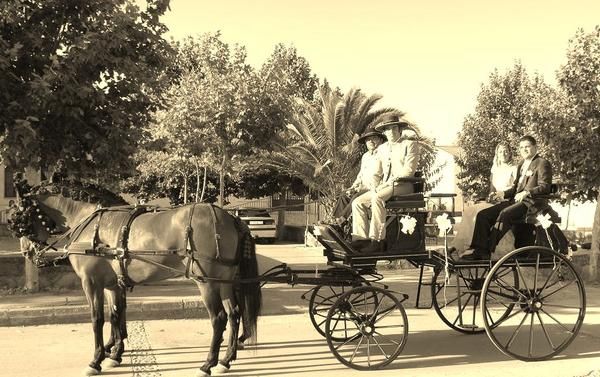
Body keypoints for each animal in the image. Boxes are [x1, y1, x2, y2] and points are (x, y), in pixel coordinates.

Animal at [14, 181, 260, 374]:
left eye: (20, 216)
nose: (26, 251)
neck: (89, 224)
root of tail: (230, 217)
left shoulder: (91, 283)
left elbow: (97, 319)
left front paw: (96, 359)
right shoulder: (113, 285)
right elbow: (115, 315)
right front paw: (114, 354)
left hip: (207, 281)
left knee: (219, 318)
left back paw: (208, 364)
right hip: (224, 280)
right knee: (234, 314)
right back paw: (225, 360)